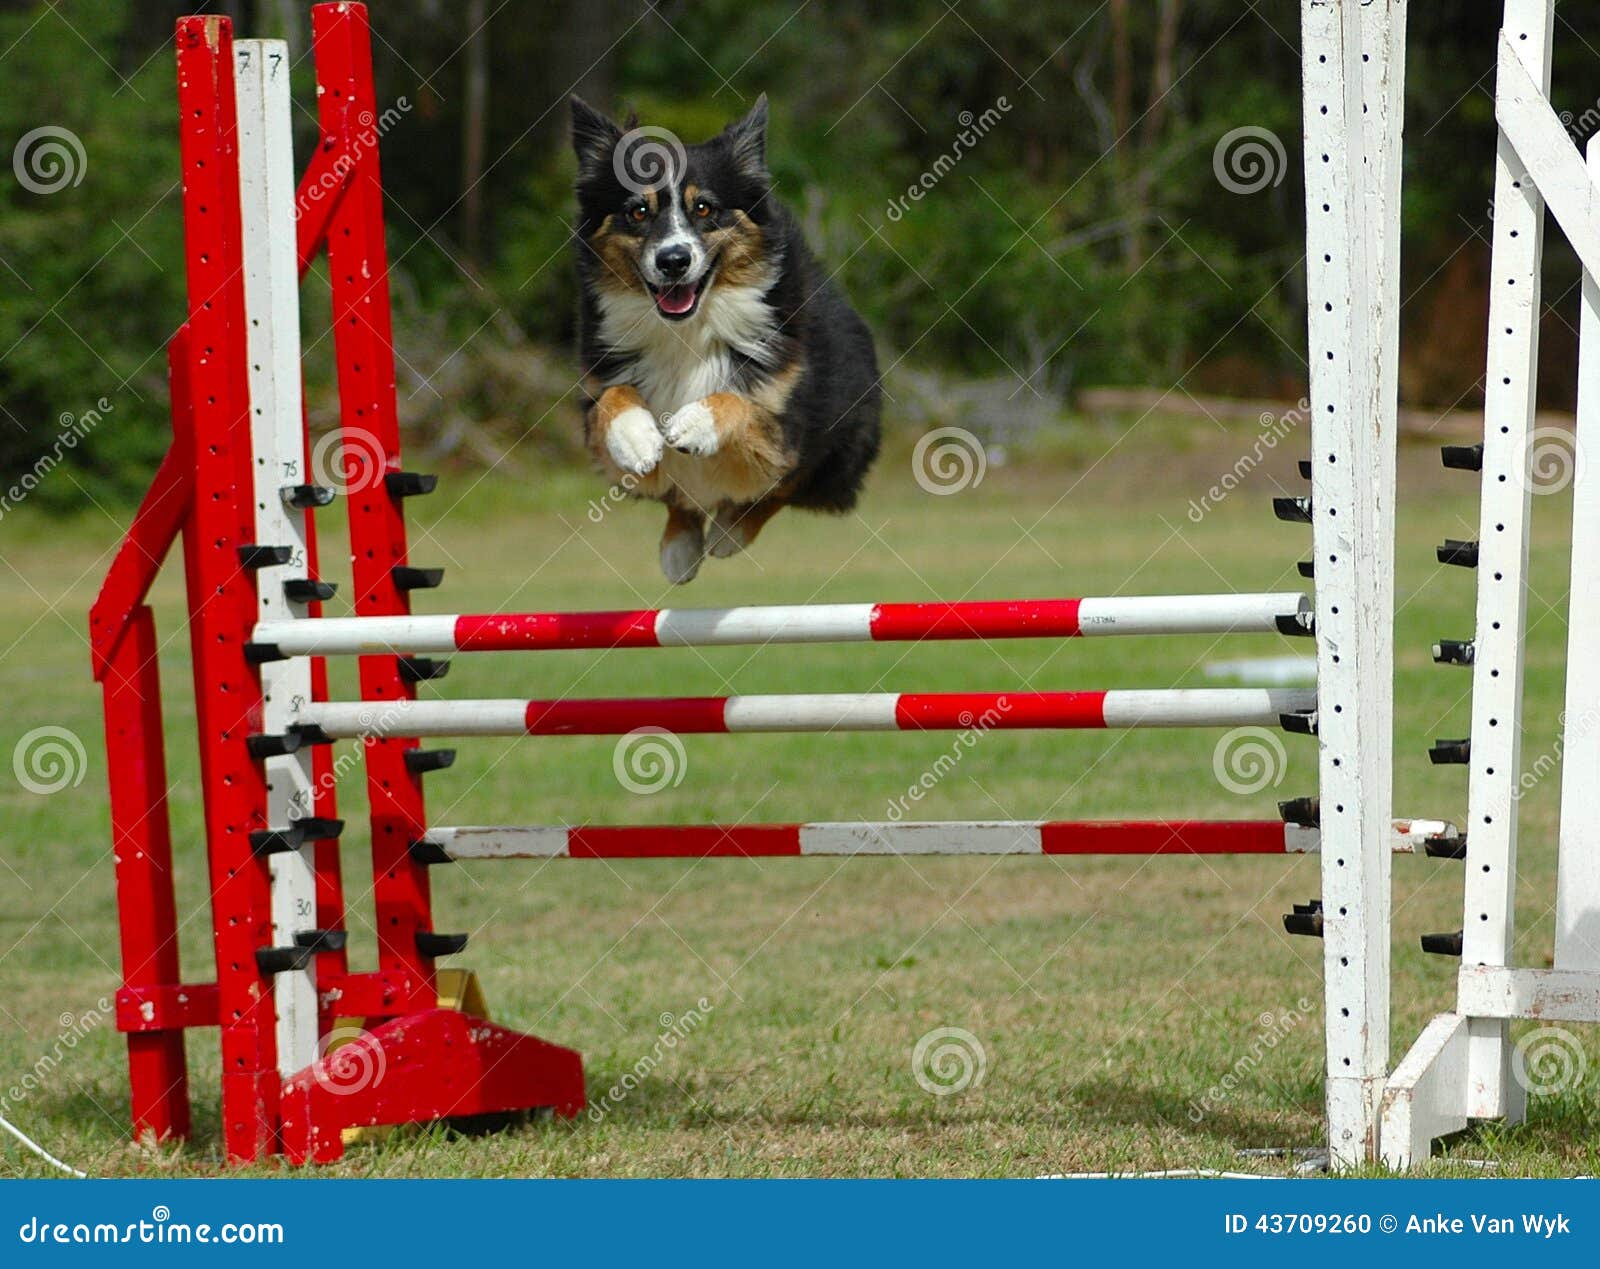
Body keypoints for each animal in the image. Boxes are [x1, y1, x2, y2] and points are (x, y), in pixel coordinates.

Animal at [569, 95, 883, 585]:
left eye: (704, 209)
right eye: (637, 211)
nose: (674, 260)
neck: (686, 330)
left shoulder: (786, 428)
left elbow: (743, 405)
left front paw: (696, 422)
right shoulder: (598, 387)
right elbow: (612, 400)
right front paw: (636, 437)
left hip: (839, 449)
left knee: (782, 490)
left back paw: (727, 534)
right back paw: (679, 548)